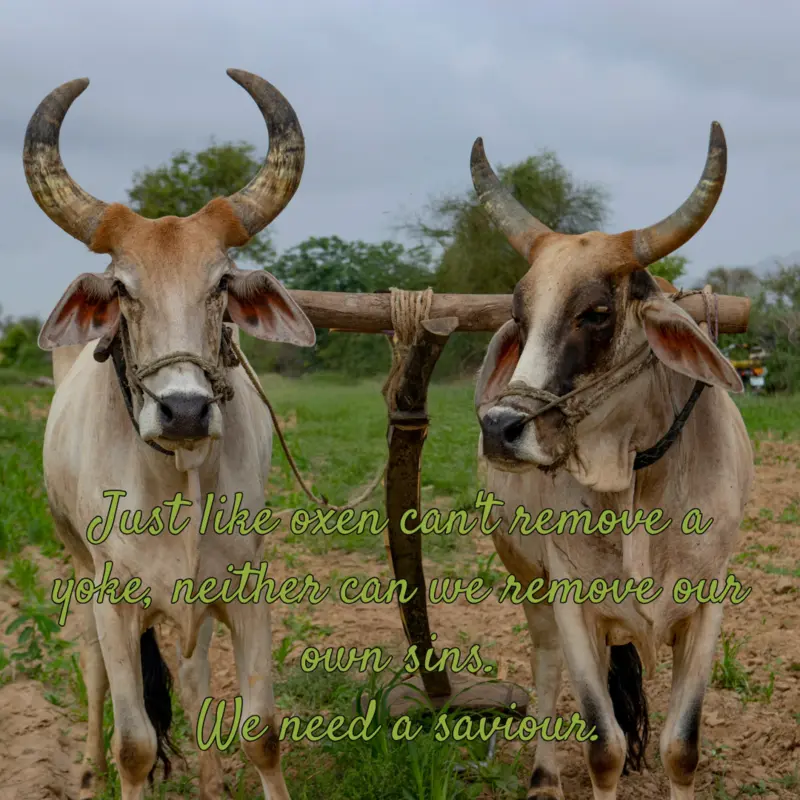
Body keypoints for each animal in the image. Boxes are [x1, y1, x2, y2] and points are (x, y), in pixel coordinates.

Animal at [25, 70, 315, 800]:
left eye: (221, 284)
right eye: (123, 290)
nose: (183, 411)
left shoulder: (244, 588)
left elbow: (261, 732)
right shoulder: (113, 600)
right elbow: (134, 744)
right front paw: (115, 766)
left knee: (189, 675)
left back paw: (208, 781)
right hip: (77, 569)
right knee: (94, 671)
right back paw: (86, 768)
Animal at [472, 124, 753, 800]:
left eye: (596, 312)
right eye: (518, 315)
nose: (500, 427)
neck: (637, 481)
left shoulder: (708, 604)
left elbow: (682, 747)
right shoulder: (573, 601)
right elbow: (603, 746)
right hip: (532, 587)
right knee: (547, 671)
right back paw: (544, 775)